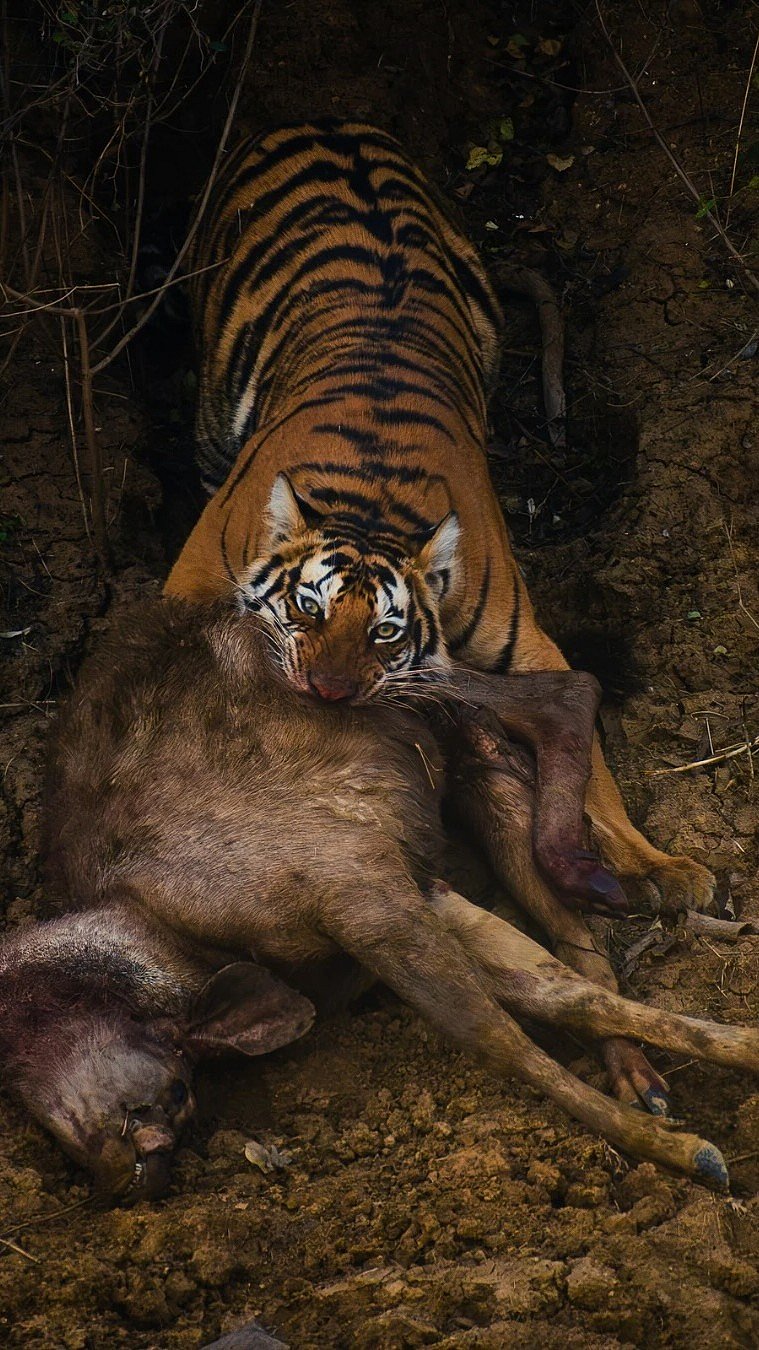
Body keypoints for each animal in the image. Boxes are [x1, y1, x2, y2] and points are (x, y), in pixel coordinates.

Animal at [165, 118, 714, 913]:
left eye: (387, 630)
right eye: (305, 607)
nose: (328, 693)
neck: (370, 507)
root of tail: (327, 122)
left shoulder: (526, 644)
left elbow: (593, 765)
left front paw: (655, 865)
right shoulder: (196, 572)